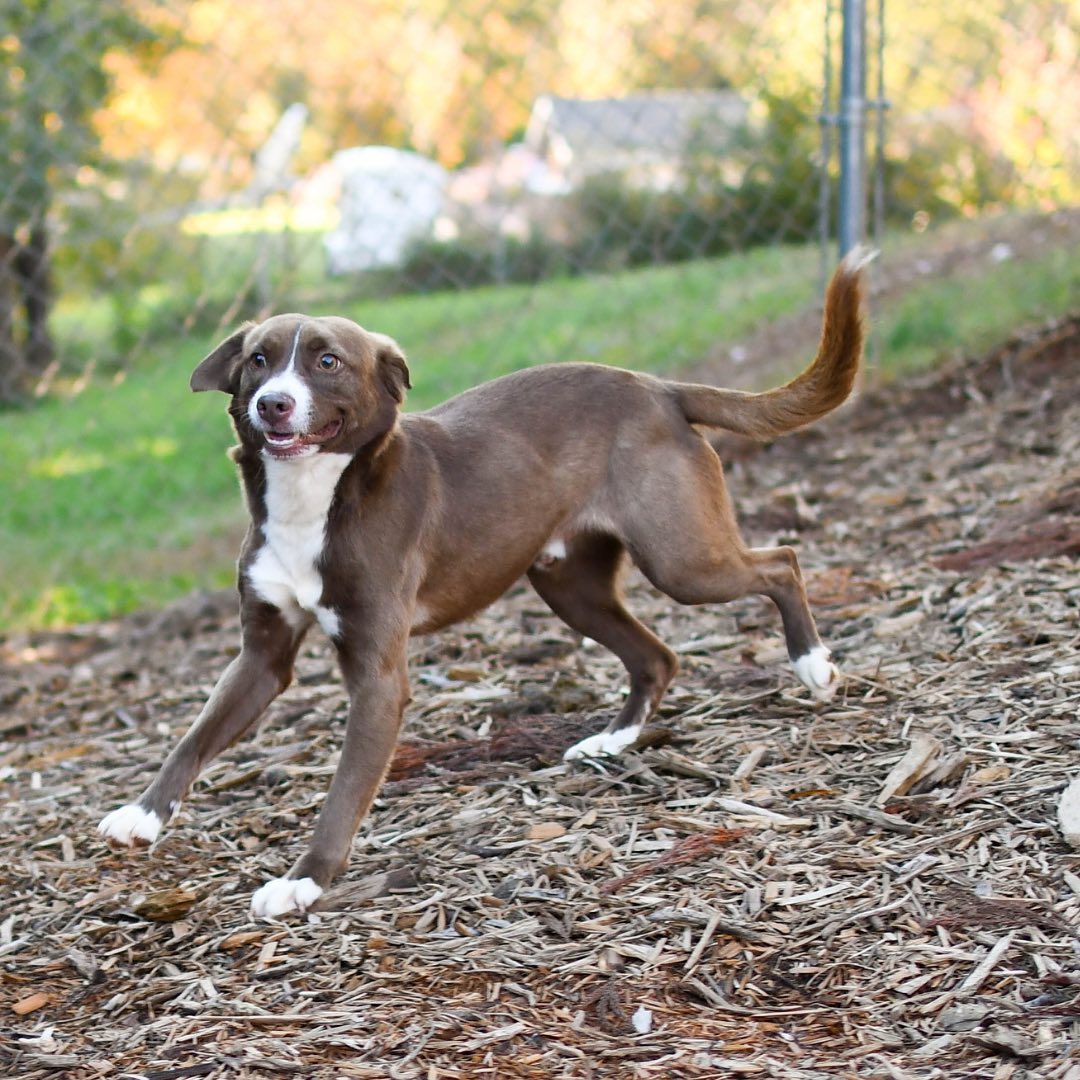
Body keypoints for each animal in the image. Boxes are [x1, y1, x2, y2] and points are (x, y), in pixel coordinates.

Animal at [95, 248, 868, 915]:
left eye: (326, 361)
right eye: (258, 360)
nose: (273, 405)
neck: (319, 497)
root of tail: (658, 387)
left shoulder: (378, 675)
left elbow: (344, 791)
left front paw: (304, 880)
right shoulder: (262, 655)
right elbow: (195, 735)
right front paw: (142, 814)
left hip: (680, 560)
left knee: (781, 561)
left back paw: (813, 665)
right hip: (569, 584)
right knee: (658, 656)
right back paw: (610, 742)